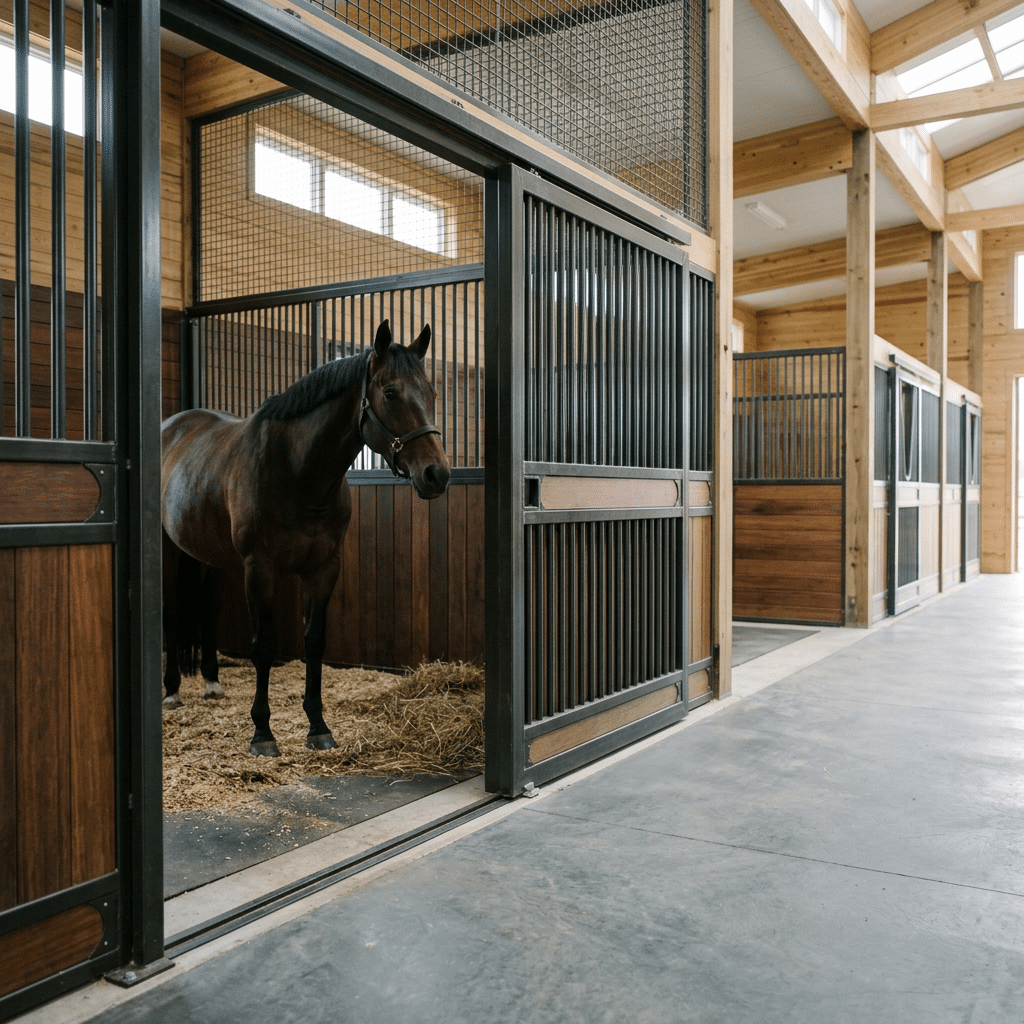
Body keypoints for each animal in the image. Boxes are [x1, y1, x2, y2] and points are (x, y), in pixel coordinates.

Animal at [160, 319, 451, 757]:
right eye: (390, 392)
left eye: (432, 393)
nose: (437, 474)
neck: (297, 470)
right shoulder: (259, 568)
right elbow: (264, 645)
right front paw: (262, 733)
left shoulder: (323, 567)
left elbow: (314, 641)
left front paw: (318, 727)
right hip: (168, 551)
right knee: (173, 614)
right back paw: (172, 690)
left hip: (211, 556)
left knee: (206, 611)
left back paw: (211, 682)